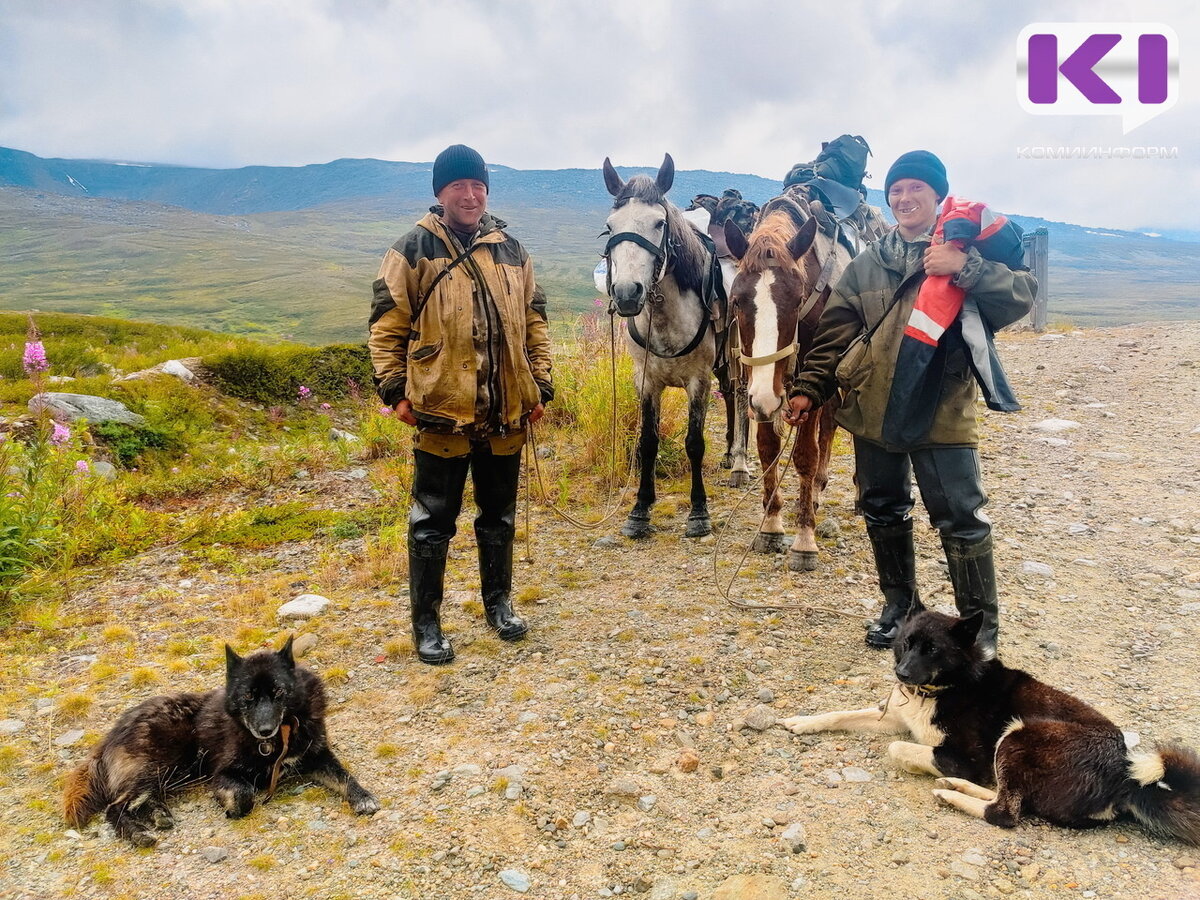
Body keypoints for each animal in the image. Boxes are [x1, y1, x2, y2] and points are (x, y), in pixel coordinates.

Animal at [777, 607, 1200, 844]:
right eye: (906, 643)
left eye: (933, 650)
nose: (901, 674)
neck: (944, 687)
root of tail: (1126, 777)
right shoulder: (894, 715)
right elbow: (841, 714)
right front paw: (802, 721)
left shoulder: (966, 756)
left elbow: (897, 748)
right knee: (1009, 797)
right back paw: (955, 787)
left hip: (1018, 735)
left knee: (1006, 812)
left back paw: (952, 793)